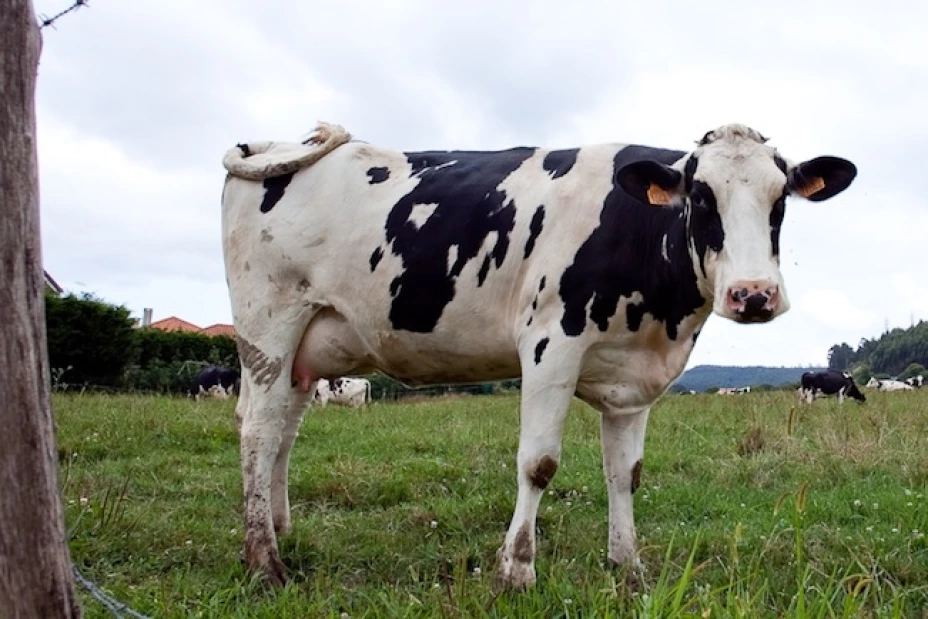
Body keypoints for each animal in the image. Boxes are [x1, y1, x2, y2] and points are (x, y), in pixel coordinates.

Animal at [221, 121, 856, 588]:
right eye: (701, 197)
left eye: (780, 199)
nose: (754, 294)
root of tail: (271, 144)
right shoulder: (552, 345)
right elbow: (539, 463)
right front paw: (517, 570)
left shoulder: (632, 376)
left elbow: (625, 473)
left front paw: (628, 566)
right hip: (268, 323)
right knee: (258, 430)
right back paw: (264, 561)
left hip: (306, 351)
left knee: (283, 432)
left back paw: (280, 530)